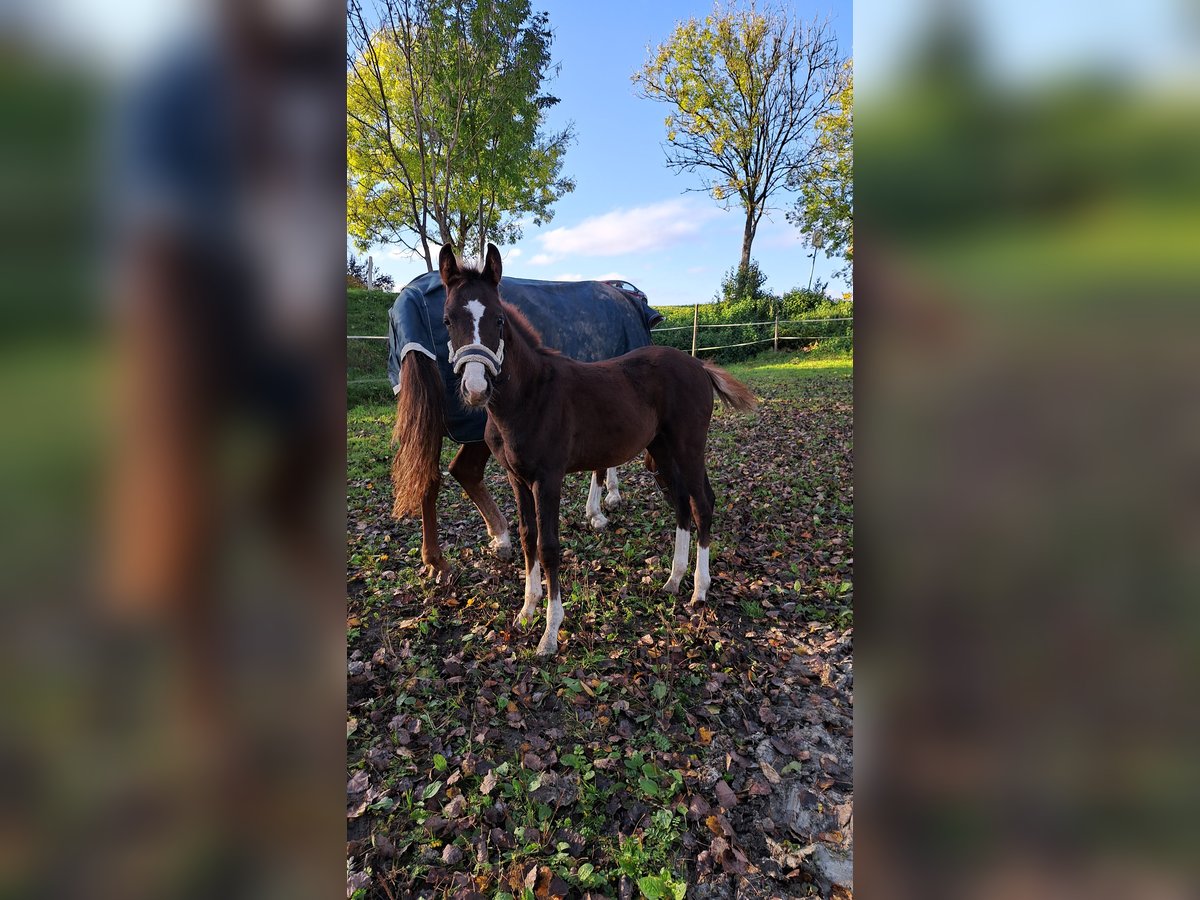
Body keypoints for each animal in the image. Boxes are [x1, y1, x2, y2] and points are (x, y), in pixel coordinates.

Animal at [386, 267, 662, 580]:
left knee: (437, 476)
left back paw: (466, 548)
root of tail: (409, 298)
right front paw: (598, 511)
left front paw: (609, 497)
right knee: (456, 472)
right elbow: (602, 464)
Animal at [441, 244, 758, 657]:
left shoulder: (548, 479)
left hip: (689, 446)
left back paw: (699, 591)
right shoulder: (517, 478)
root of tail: (698, 364)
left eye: (498, 320)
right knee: (681, 504)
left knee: (701, 503)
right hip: (661, 451)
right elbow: (527, 538)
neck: (529, 396)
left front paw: (549, 633)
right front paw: (526, 611)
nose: (476, 388)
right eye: (447, 320)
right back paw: (673, 580)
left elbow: (548, 546)